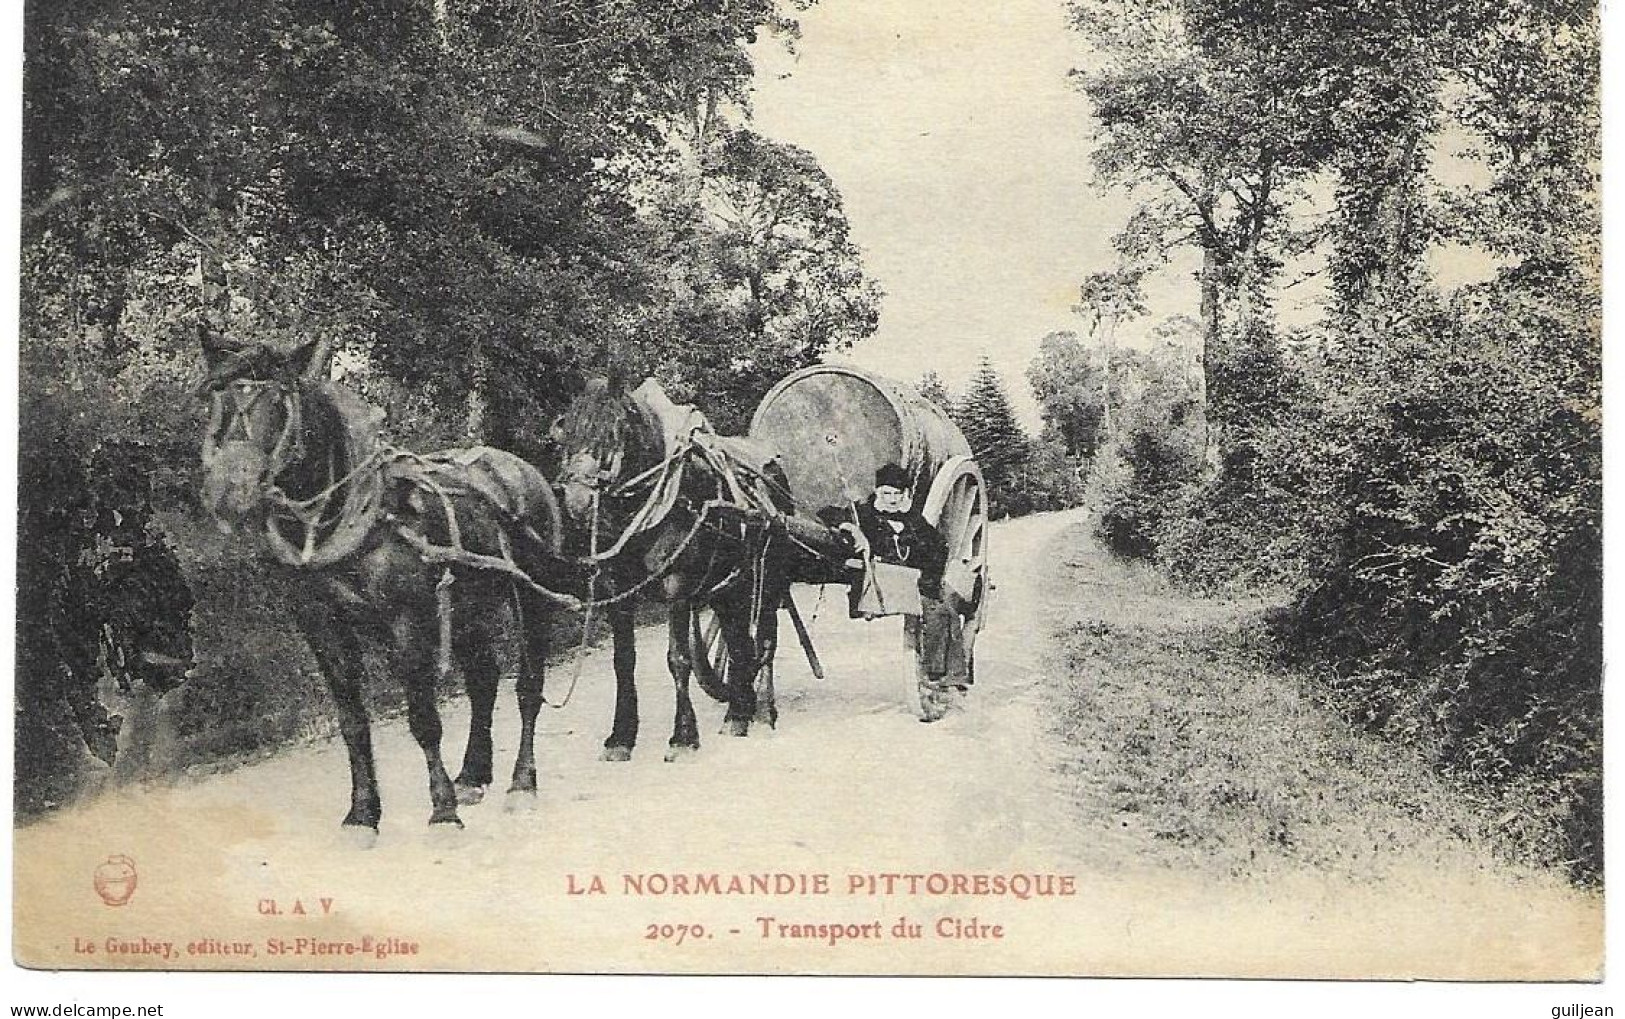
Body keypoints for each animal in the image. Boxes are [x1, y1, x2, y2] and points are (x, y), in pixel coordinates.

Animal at [195, 331, 568, 838]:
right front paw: (362, 813)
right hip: (466, 607)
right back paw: (473, 774)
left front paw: (442, 811)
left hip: (529, 597)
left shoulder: (407, 619)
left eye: (281, 400)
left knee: (528, 687)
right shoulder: (322, 626)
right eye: (214, 398)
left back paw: (521, 783)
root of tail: (521, 469)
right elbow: (353, 722)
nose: (228, 494)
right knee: (484, 681)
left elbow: (424, 719)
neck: (340, 520)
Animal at [546, 378, 799, 760]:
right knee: (738, 642)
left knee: (766, 640)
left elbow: (678, 658)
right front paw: (621, 736)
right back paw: (738, 712)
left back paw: (764, 711)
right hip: (727, 587)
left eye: (615, 432)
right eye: (566, 434)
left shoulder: (677, 588)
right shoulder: (615, 591)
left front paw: (682, 737)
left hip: (768, 579)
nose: (577, 501)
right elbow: (623, 661)